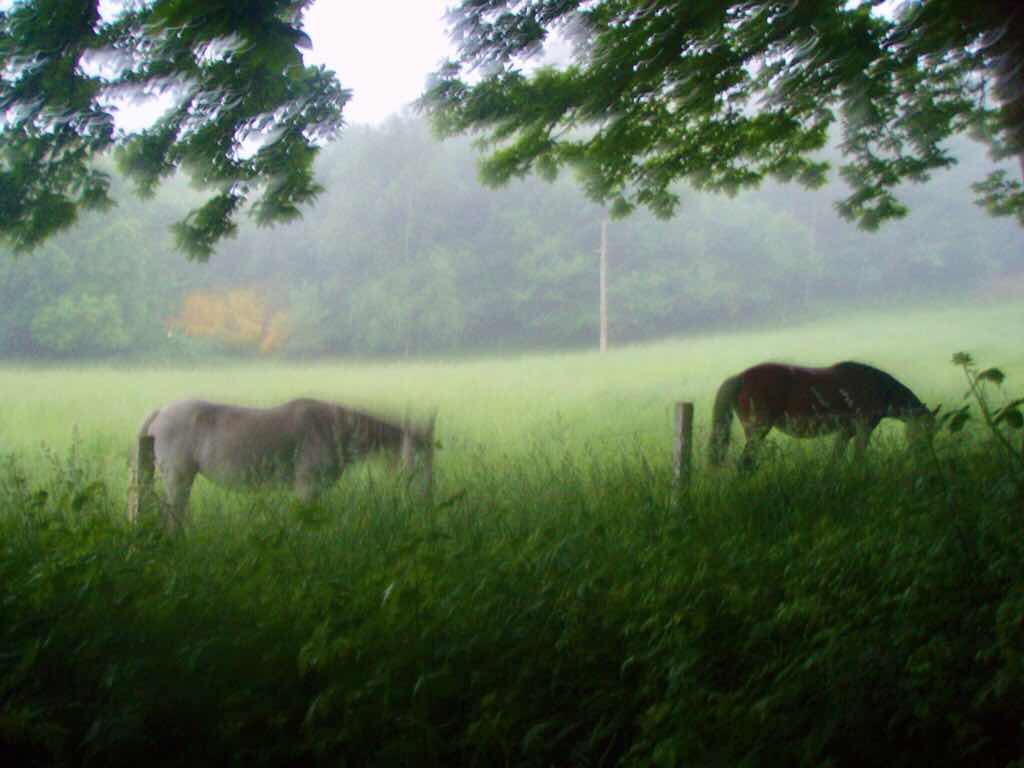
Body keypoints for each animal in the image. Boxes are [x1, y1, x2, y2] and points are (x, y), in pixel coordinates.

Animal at [136, 398, 435, 531]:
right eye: (417, 457)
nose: (426, 497)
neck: (332, 428)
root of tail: (161, 412)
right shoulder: (306, 487)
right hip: (178, 481)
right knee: (172, 519)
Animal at [707, 361, 934, 470]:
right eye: (925, 431)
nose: (926, 455)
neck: (876, 386)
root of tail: (740, 377)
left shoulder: (846, 432)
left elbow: (835, 459)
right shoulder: (863, 429)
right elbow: (858, 458)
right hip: (757, 431)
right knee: (745, 464)